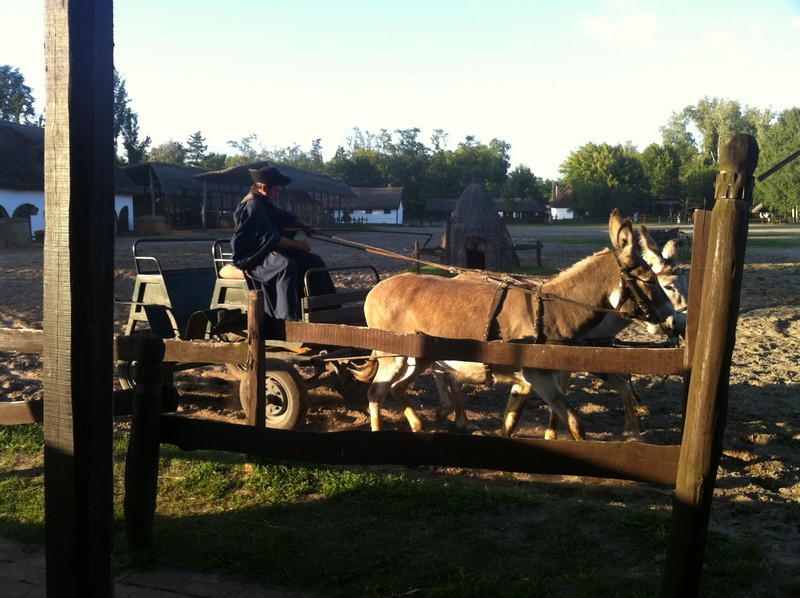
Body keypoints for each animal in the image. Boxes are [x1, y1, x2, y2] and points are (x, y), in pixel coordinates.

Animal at [354, 211, 680, 440]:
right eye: (650, 280)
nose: (673, 321)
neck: (552, 312)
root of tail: (377, 288)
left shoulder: (527, 380)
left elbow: (510, 422)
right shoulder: (539, 377)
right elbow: (575, 424)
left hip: (418, 357)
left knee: (397, 388)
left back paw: (420, 425)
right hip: (394, 356)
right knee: (376, 392)